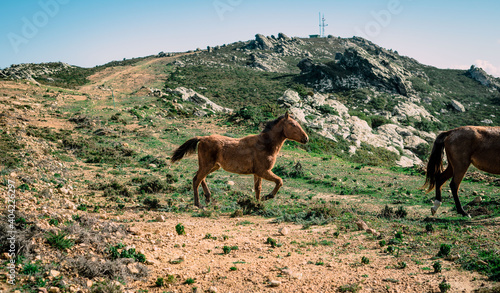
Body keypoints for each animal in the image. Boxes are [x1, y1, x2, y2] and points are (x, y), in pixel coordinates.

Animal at [172, 112, 308, 208]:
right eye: (293, 124)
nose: (306, 138)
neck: (265, 145)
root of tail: (202, 138)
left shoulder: (257, 173)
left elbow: (258, 188)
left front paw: (257, 204)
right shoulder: (263, 171)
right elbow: (279, 181)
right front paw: (267, 196)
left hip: (213, 166)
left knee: (200, 178)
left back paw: (208, 198)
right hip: (207, 165)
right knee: (196, 180)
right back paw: (198, 204)